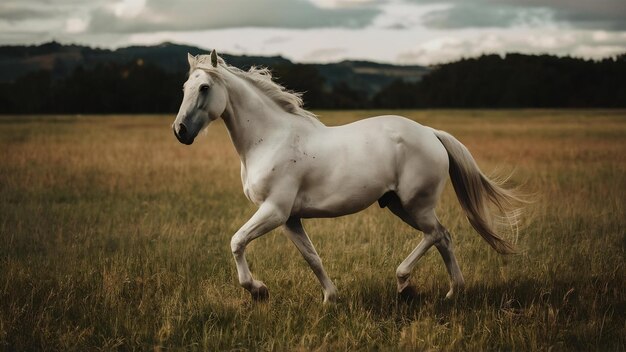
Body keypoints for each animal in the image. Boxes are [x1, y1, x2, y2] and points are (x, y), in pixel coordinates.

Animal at [172, 51, 520, 304]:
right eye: (185, 89)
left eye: (204, 88)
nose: (180, 131)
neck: (269, 138)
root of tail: (430, 132)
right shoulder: (290, 219)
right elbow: (312, 257)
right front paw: (330, 298)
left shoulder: (274, 211)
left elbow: (237, 241)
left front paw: (258, 290)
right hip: (400, 205)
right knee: (443, 238)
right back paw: (452, 293)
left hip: (416, 204)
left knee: (436, 235)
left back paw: (405, 283)